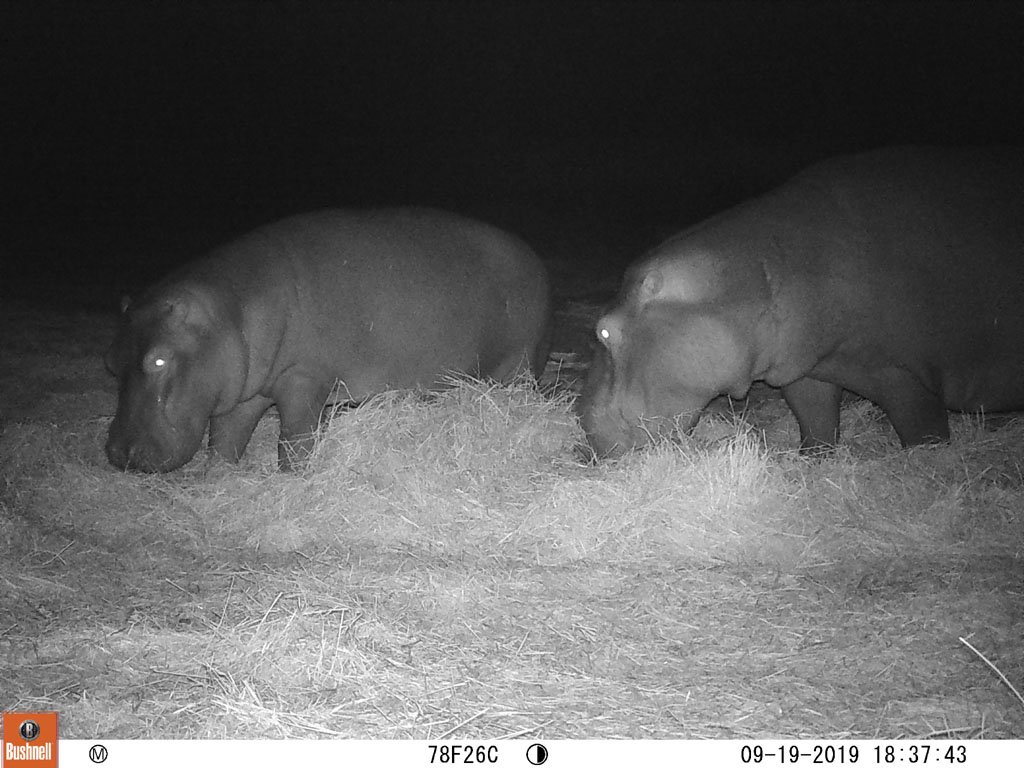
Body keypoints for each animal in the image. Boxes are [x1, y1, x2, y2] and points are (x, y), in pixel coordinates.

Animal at [105, 208, 551, 472]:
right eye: (111, 363)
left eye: (159, 360)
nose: (119, 454)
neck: (231, 312)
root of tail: (531, 255)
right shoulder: (246, 390)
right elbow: (225, 440)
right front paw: (220, 476)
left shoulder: (304, 377)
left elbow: (295, 438)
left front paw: (296, 475)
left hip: (519, 362)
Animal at [578, 146, 1024, 457]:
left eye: (603, 331)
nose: (582, 430)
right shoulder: (808, 370)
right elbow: (816, 422)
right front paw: (812, 460)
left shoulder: (904, 374)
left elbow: (922, 430)